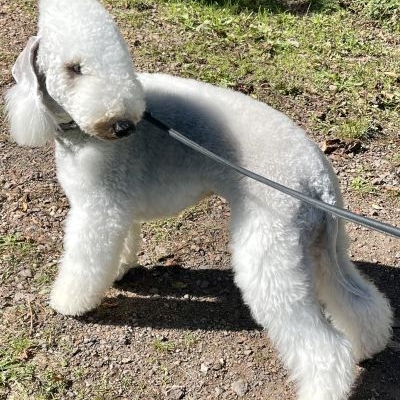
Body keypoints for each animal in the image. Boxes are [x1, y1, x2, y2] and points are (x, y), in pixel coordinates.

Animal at [4, 0, 392, 400]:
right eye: (74, 69)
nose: (124, 126)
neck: (81, 134)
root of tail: (316, 178)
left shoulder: (97, 210)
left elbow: (84, 262)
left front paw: (68, 302)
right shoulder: (118, 205)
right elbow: (122, 242)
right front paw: (121, 269)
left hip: (271, 248)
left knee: (323, 347)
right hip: (324, 242)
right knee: (360, 301)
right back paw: (369, 342)